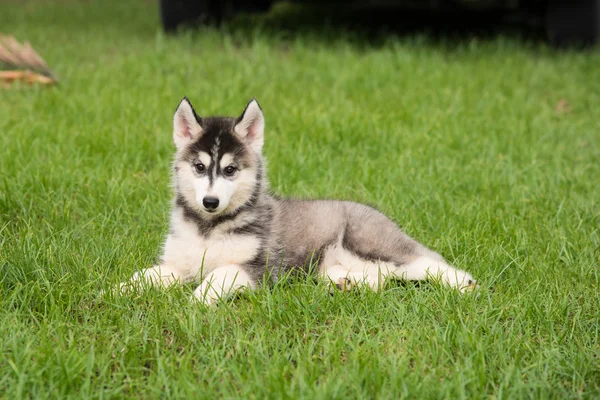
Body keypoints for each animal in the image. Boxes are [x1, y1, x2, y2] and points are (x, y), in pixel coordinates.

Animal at [124, 98, 476, 304]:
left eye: (230, 170)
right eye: (199, 167)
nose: (210, 201)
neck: (209, 227)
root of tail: (376, 212)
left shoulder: (261, 268)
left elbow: (219, 274)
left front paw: (197, 300)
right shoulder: (177, 263)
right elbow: (146, 275)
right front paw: (120, 291)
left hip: (372, 244)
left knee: (427, 261)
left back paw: (464, 284)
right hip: (330, 265)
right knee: (380, 281)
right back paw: (347, 284)